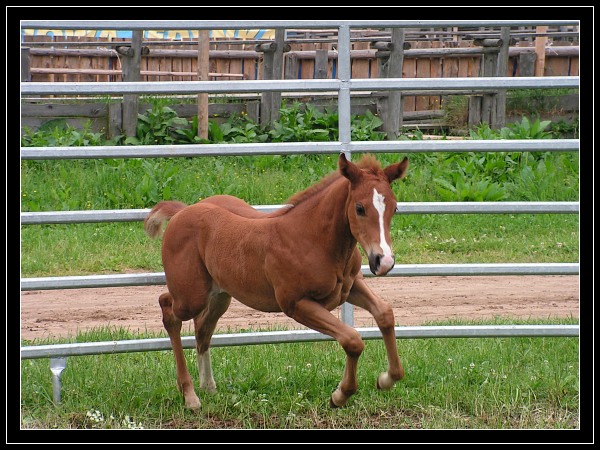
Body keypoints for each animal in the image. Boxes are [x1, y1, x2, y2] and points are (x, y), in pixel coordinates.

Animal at [145, 153, 408, 410]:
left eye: (395, 208)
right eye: (360, 208)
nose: (383, 261)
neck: (314, 239)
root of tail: (182, 211)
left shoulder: (350, 288)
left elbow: (385, 314)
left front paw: (386, 379)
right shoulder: (296, 304)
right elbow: (352, 340)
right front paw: (340, 395)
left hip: (220, 295)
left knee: (202, 328)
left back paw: (208, 386)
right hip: (191, 296)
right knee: (168, 308)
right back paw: (190, 395)